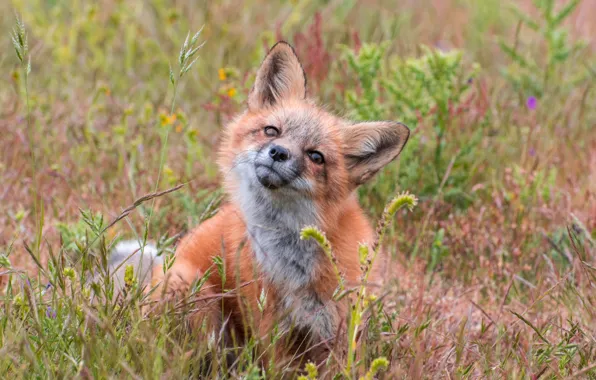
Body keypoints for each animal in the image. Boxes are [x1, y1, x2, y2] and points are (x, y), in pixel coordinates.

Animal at [110, 40, 410, 368]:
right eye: (271, 131)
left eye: (316, 156)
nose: (278, 152)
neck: (295, 264)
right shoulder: (268, 320)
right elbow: (277, 367)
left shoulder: (338, 322)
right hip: (194, 292)